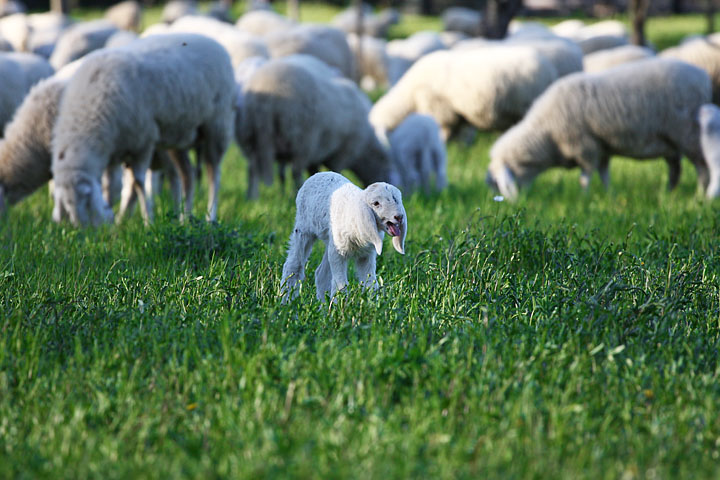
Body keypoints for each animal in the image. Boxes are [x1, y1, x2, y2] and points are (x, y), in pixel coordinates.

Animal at [51, 33, 236, 227]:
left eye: (84, 202)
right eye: (67, 206)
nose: (82, 230)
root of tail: (213, 42)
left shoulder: (143, 141)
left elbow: (138, 182)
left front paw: (147, 222)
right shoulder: (114, 150)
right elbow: (109, 186)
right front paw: (114, 222)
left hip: (217, 126)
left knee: (214, 175)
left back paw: (210, 218)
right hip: (178, 137)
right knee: (188, 175)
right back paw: (184, 219)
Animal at [236, 55, 394, 200]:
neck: (364, 149)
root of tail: (263, 103)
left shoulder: (306, 153)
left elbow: (289, 173)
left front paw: (284, 194)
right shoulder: (342, 152)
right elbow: (335, 171)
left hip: (251, 138)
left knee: (252, 169)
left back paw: (252, 198)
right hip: (301, 139)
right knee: (295, 171)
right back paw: (296, 192)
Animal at [280, 171, 404, 302]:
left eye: (397, 200)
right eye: (376, 203)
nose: (399, 217)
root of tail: (319, 173)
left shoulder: (366, 255)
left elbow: (370, 283)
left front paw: (372, 303)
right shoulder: (339, 254)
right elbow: (340, 284)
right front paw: (340, 304)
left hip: (330, 240)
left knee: (321, 274)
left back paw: (322, 305)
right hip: (303, 229)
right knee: (293, 265)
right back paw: (285, 300)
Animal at [486, 58, 712, 201]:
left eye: (499, 182)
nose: (504, 203)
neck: (546, 134)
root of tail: (703, 77)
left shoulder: (585, 146)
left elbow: (585, 177)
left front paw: (584, 199)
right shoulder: (601, 147)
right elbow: (604, 175)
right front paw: (609, 195)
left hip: (688, 133)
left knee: (702, 168)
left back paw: (699, 196)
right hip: (670, 141)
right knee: (676, 170)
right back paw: (668, 194)